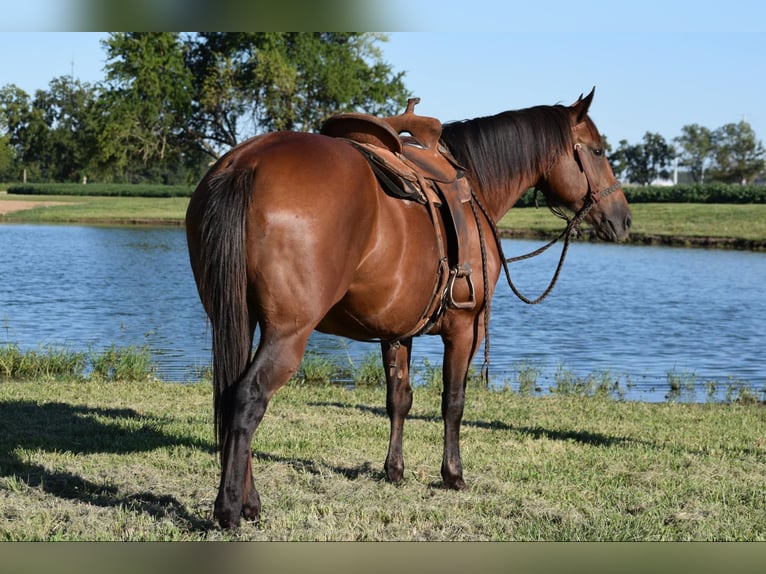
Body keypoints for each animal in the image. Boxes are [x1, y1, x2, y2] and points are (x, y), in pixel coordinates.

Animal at [185, 88, 632, 528]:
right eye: (597, 151)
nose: (624, 219)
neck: (474, 186)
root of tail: (249, 162)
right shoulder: (465, 328)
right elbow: (453, 402)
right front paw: (453, 475)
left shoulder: (396, 330)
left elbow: (398, 398)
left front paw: (394, 470)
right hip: (287, 333)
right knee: (249, 398)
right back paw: (231, 510)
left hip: (238, 318)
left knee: (230, 394)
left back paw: (248, 502)